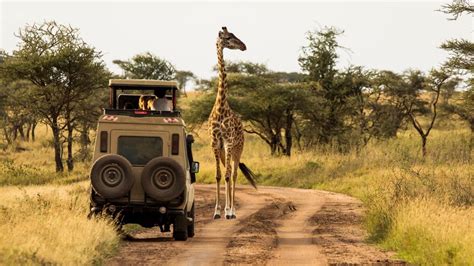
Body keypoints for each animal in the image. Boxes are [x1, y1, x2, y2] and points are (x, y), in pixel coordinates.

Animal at [208, 27, 258, 219]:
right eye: (229, 37)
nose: (244, 46)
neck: (221, 107)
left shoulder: (228, 143)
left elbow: (229, 175)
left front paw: (228, 211)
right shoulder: (216, 143)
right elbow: (218, 175)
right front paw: (216, 211)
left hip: (238, 149)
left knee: (235, 173)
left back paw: (233, 211)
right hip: (224, 151)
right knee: (228, 172)